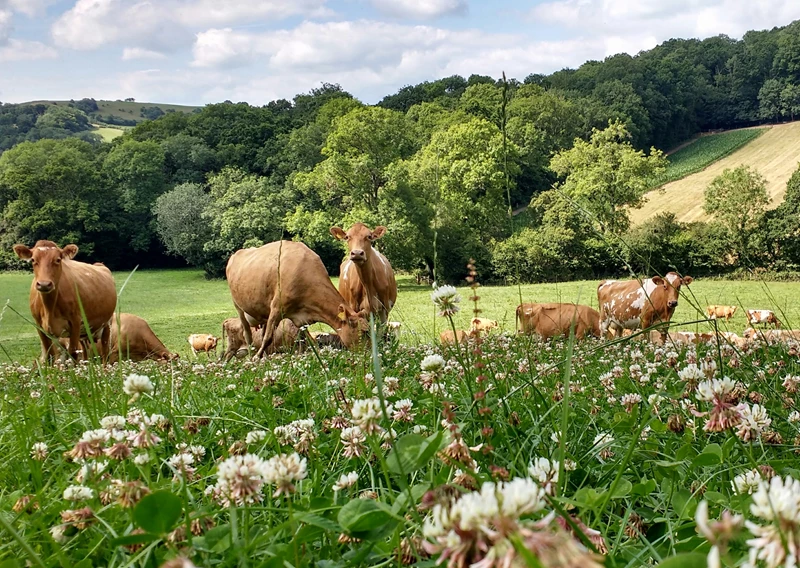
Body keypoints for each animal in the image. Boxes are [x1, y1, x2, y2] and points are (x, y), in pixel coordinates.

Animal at [226, 240, 368, 357]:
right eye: (364, 332)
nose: (371, 354)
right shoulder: (276, 308)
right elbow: (268, 338)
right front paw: (256, 358)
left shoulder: (301, 319)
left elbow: (309, 341)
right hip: (238, 307)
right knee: (248, 334)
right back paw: (252, 356)